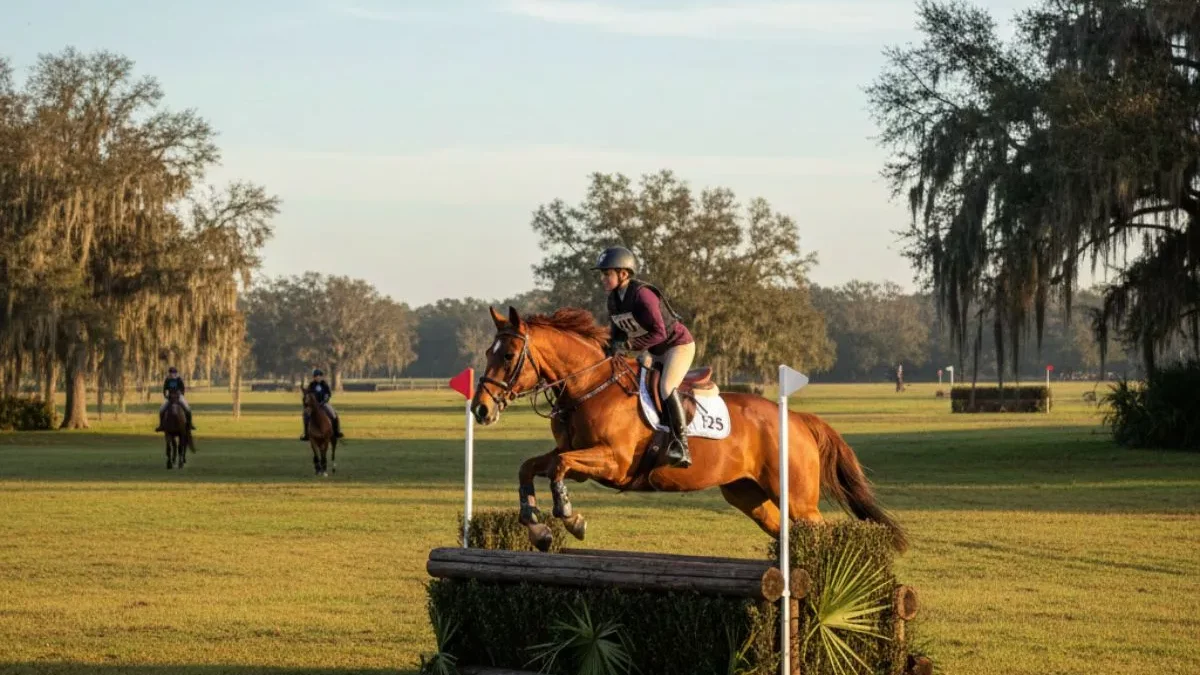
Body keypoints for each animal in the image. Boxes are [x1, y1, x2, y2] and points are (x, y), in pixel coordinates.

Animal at [470, 306, 908, 554]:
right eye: (490, 352)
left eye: (508, 355)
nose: (480, 409)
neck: (589, 386)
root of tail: (798, 419)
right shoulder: (579, 459)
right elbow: (531, 467)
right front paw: (538, 528)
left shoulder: (612, 463)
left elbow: (558, 468)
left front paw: (569, 518)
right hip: (747, 494)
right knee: (781, 528)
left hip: (797, 500)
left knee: (820, 529)